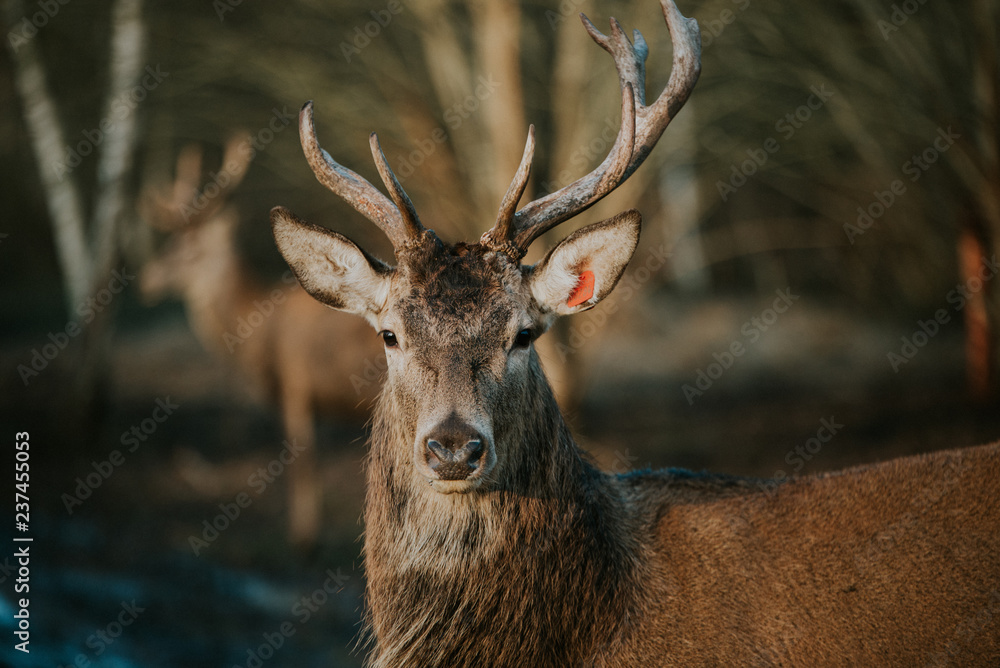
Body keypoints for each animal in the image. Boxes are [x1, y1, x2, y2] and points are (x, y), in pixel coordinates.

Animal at [139, 137, 381, 548]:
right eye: (169, 241)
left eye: (188, 249)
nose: (145, 279)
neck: (260, 329)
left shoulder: (295, 384)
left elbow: (303, 464)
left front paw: (304, 538)